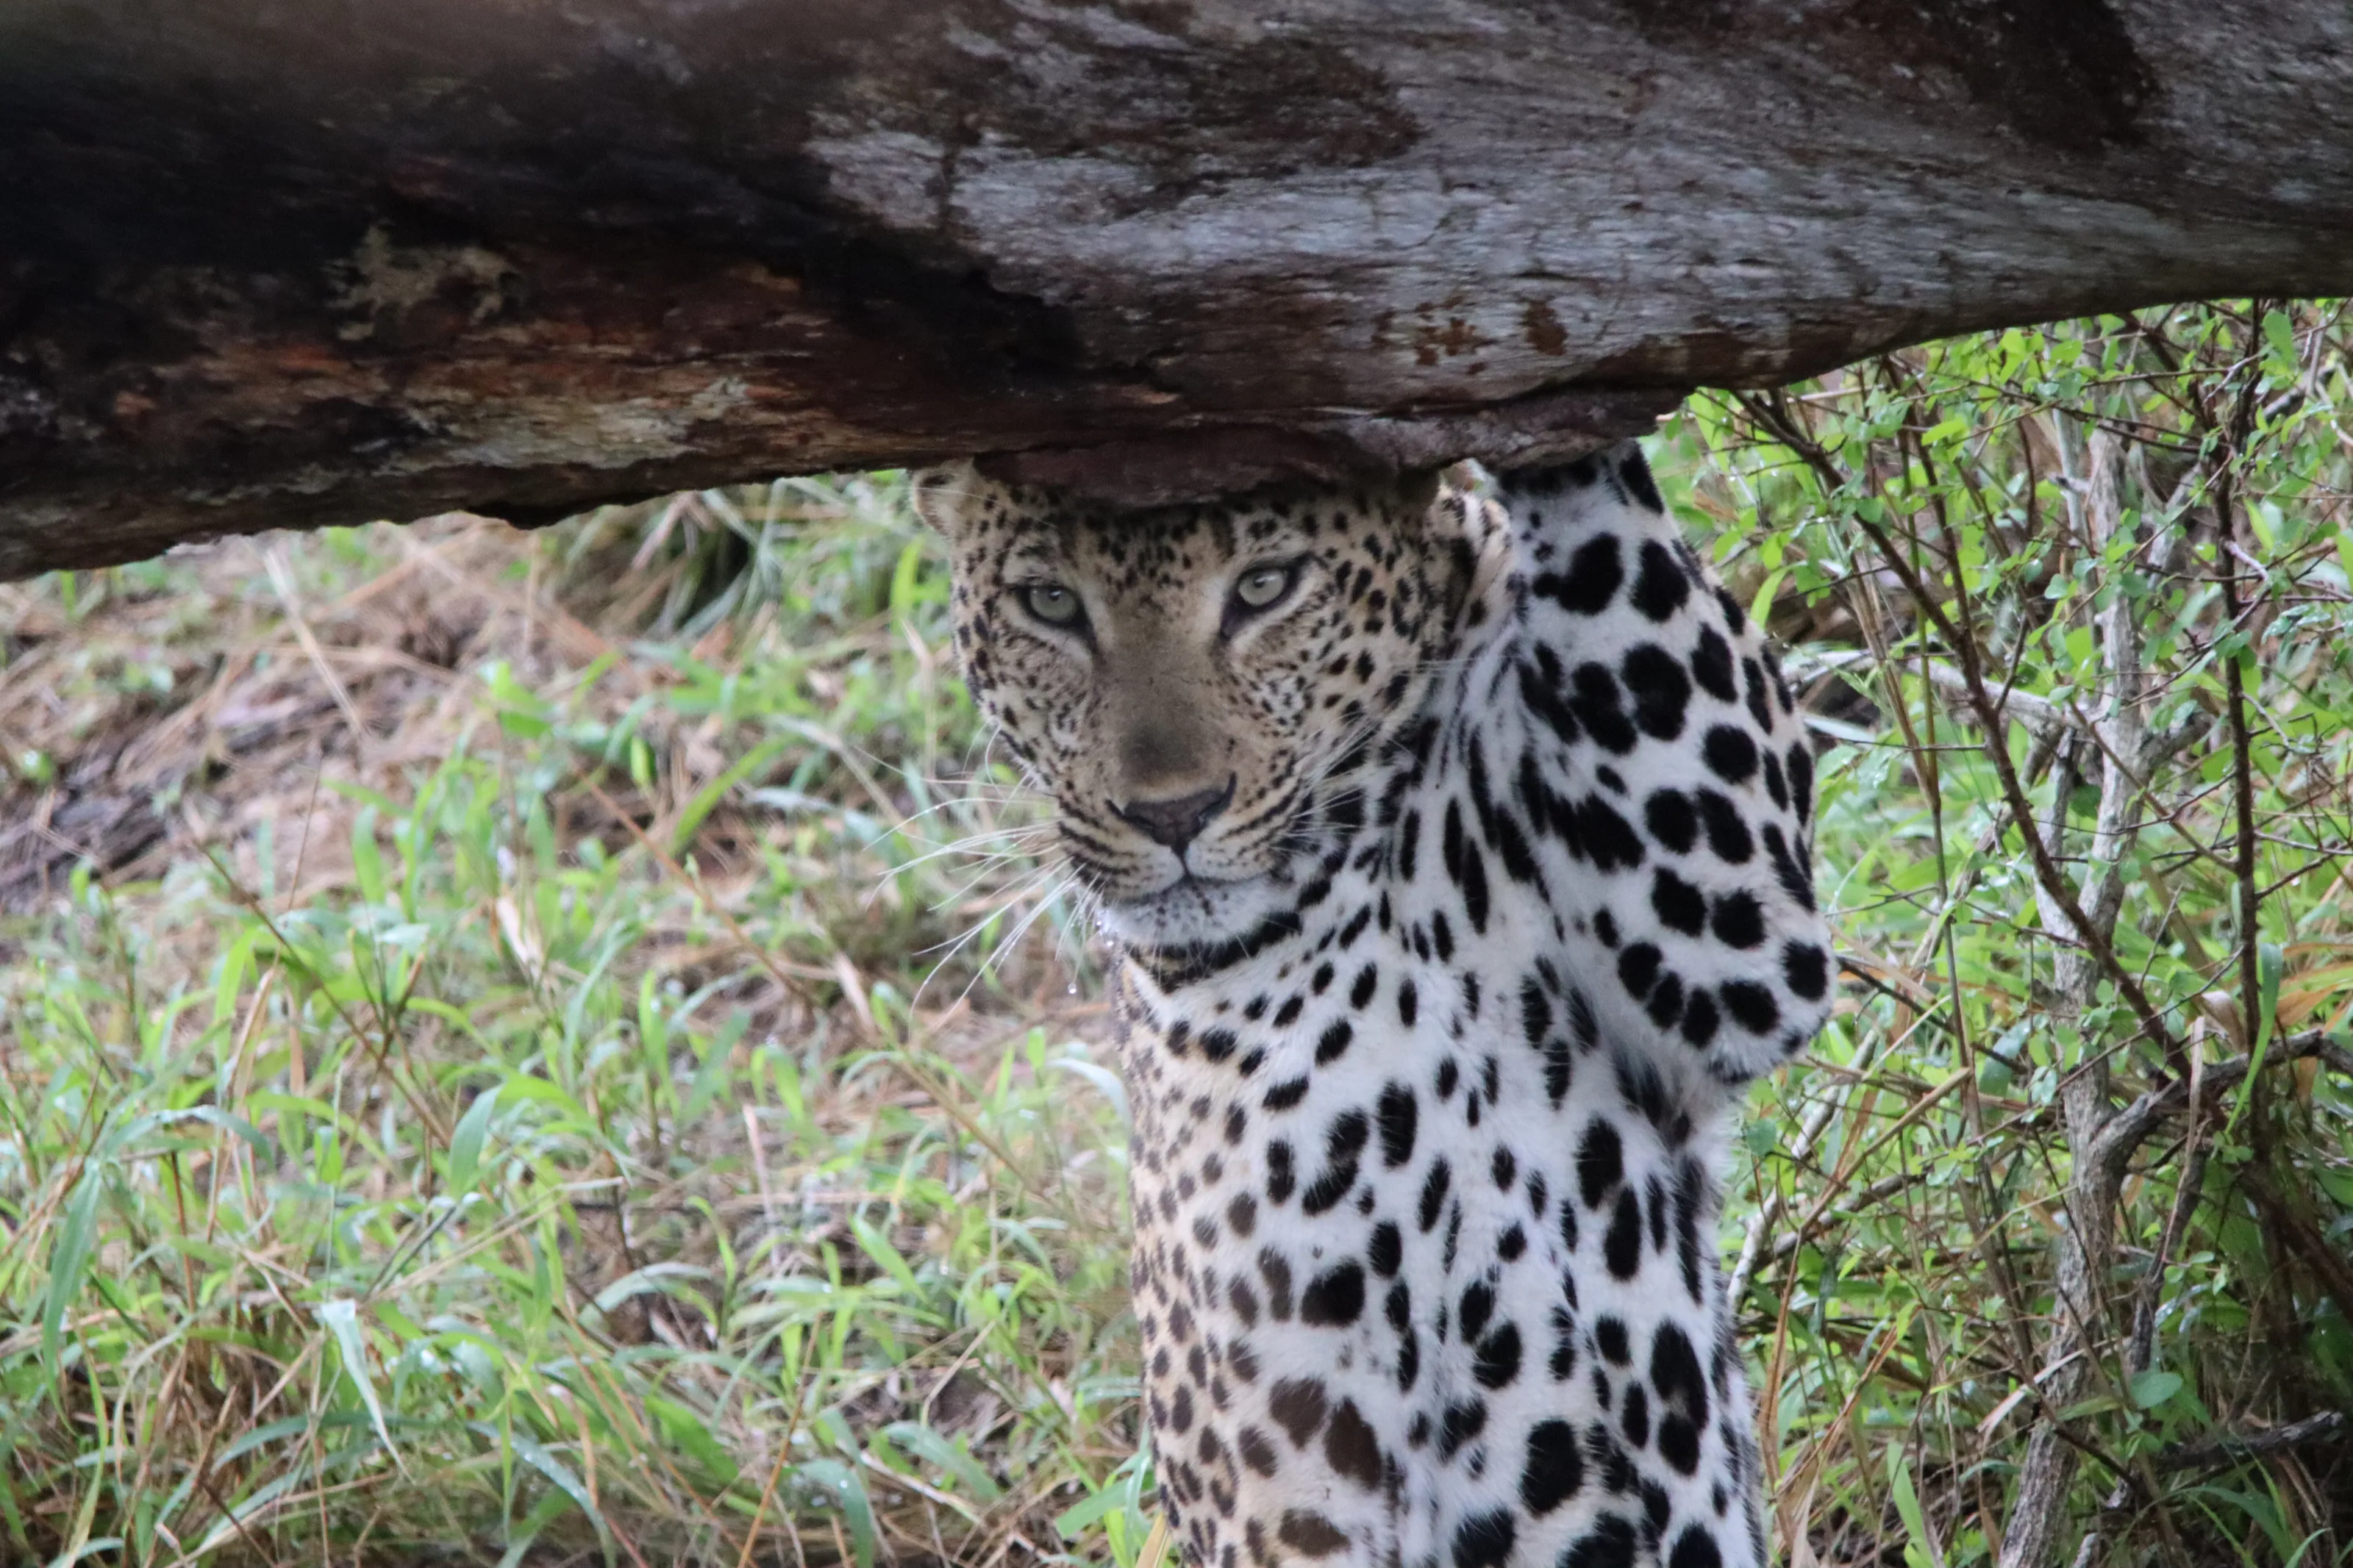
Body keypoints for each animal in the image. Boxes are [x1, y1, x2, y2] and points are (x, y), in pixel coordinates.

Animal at [914, 441, 1832, 1568]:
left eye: (1265, 588)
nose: (1173, 814)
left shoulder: (1726, 948)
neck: (1360, 880)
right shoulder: (1290, 1467)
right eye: (1048, 604)